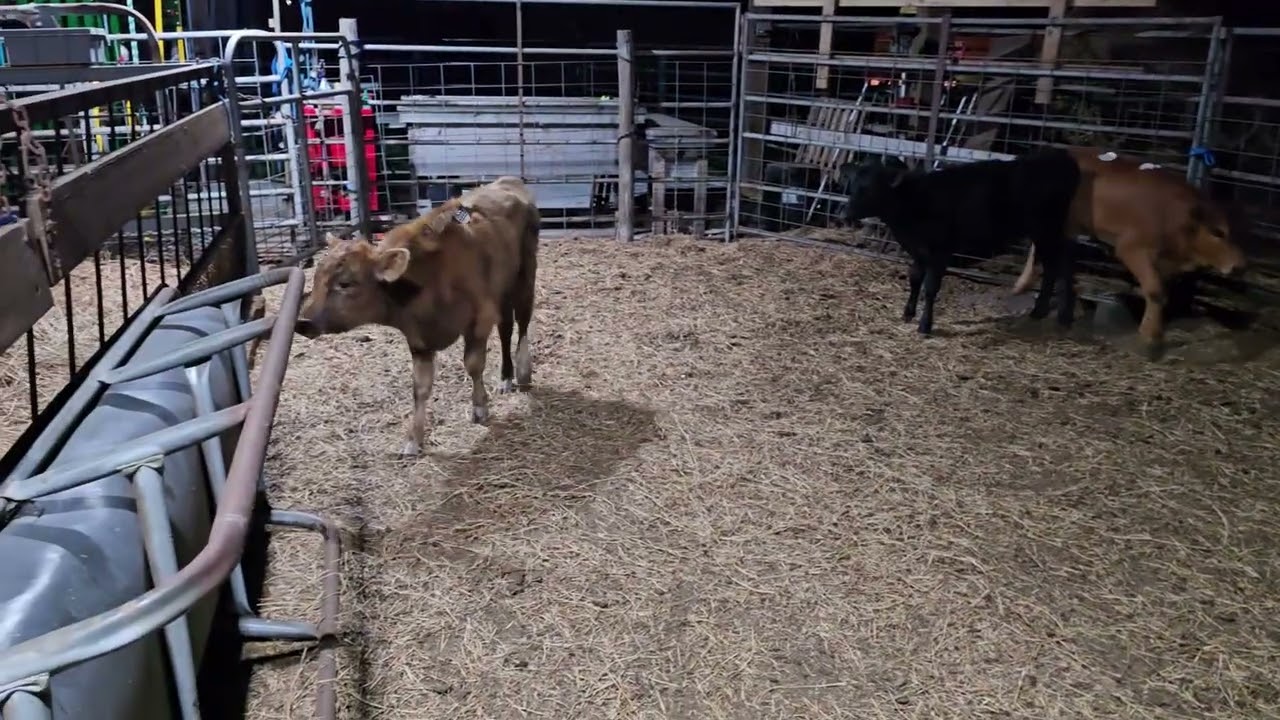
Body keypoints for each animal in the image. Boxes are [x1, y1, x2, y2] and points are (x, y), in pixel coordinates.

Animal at [295, 176, 540, 456]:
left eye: (345, 283)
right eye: (316, 278)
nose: (303, 321)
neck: (433, 278)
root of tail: (509, 181)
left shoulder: (480, 319)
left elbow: (473, 364)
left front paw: (479, 407)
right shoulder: (418, 340)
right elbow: (420, 388)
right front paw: (414, 439)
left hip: (524, 277)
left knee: (522, 322)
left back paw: (522, 372)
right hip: (504, 291)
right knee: (506, 328)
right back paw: (506, 377)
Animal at [838, 149, 1082, 336]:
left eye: (871, 188)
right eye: (852, 185)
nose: (845, 214)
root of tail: (1059, 158)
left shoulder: (940, 251)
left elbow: (930, 287)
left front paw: (925, 325)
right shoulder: (917, 250)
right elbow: (914, 279)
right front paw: (907, 314)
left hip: (1051, 229)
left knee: (1065, 262)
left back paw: (1065, 316)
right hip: (1041, 233)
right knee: (1051, 266)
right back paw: (1039, 311)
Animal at [1011, 147, 1247, 358]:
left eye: (1238, 232)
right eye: (1217, 232)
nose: (1240, 266)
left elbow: (1162, 293)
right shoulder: (1132, 248)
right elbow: (1155, 291)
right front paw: (1150, 341)